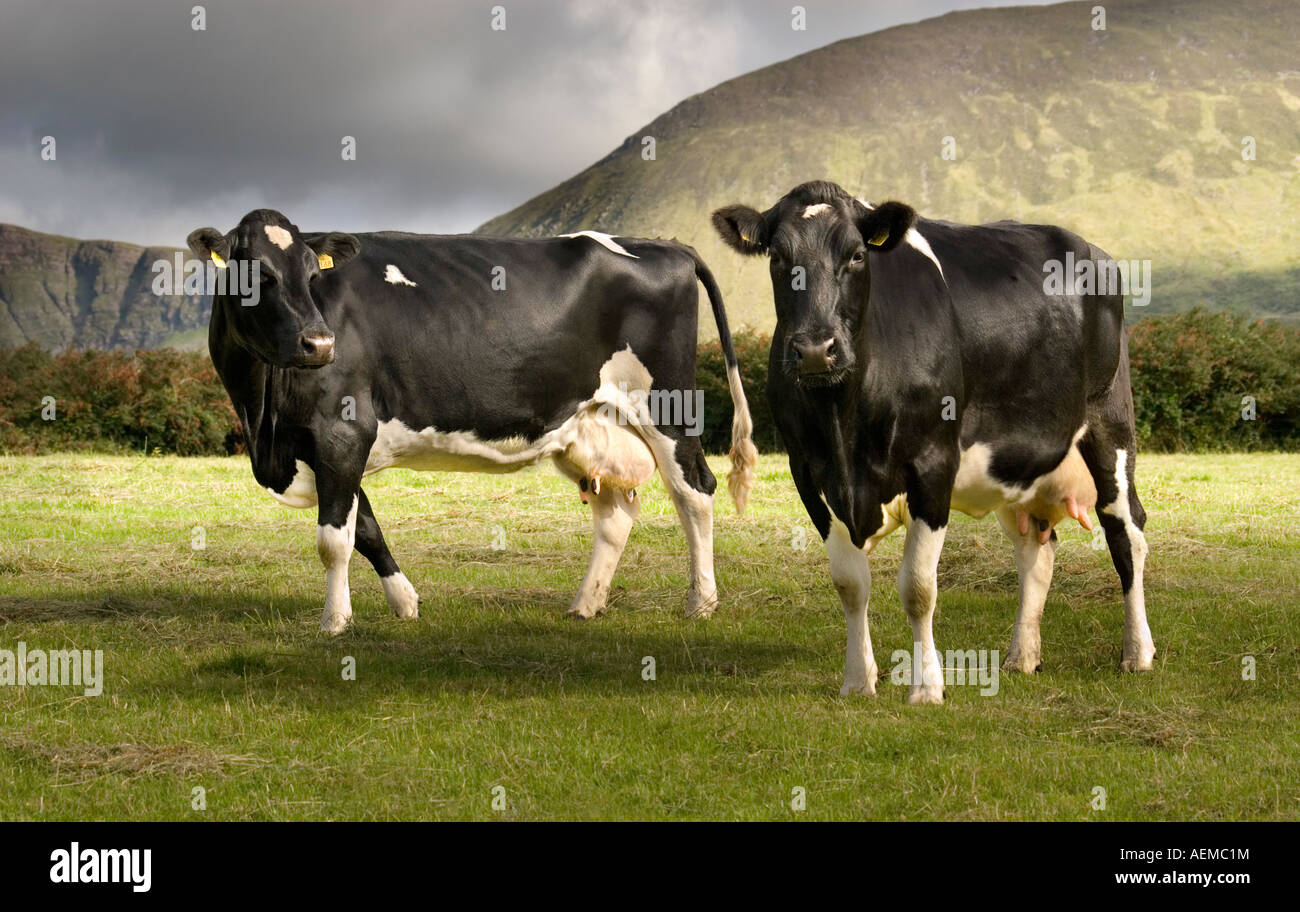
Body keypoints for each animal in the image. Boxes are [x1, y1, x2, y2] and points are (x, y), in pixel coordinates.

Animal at [187, 209, 757, 634]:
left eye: (312, 274)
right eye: (255, 273)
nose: (320, 343)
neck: (264, 419)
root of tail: (667, 246)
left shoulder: (341, 431)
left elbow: (334, 539)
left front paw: (335, 621)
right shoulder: (327, 447)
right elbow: (366, 527)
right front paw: (405, 602)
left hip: (668, 404)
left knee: (694, 492)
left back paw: (701, 602)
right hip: (590, 424)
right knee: (615, 513)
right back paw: (585, 604)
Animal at [712, 181, 1154, 704]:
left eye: (857, 255)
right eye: (778, 257)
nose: (817, 350)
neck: (844, 424)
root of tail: (1091, 250)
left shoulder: (934, 463)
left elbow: (919, 588)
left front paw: (927, 688)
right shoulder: (808, 472)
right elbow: (850, 583)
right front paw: (858, 680)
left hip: (1110, 423)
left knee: (1127, 533)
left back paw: (1137, 652)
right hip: (1017, 460)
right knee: (1036, 548)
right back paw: (1022, 655)